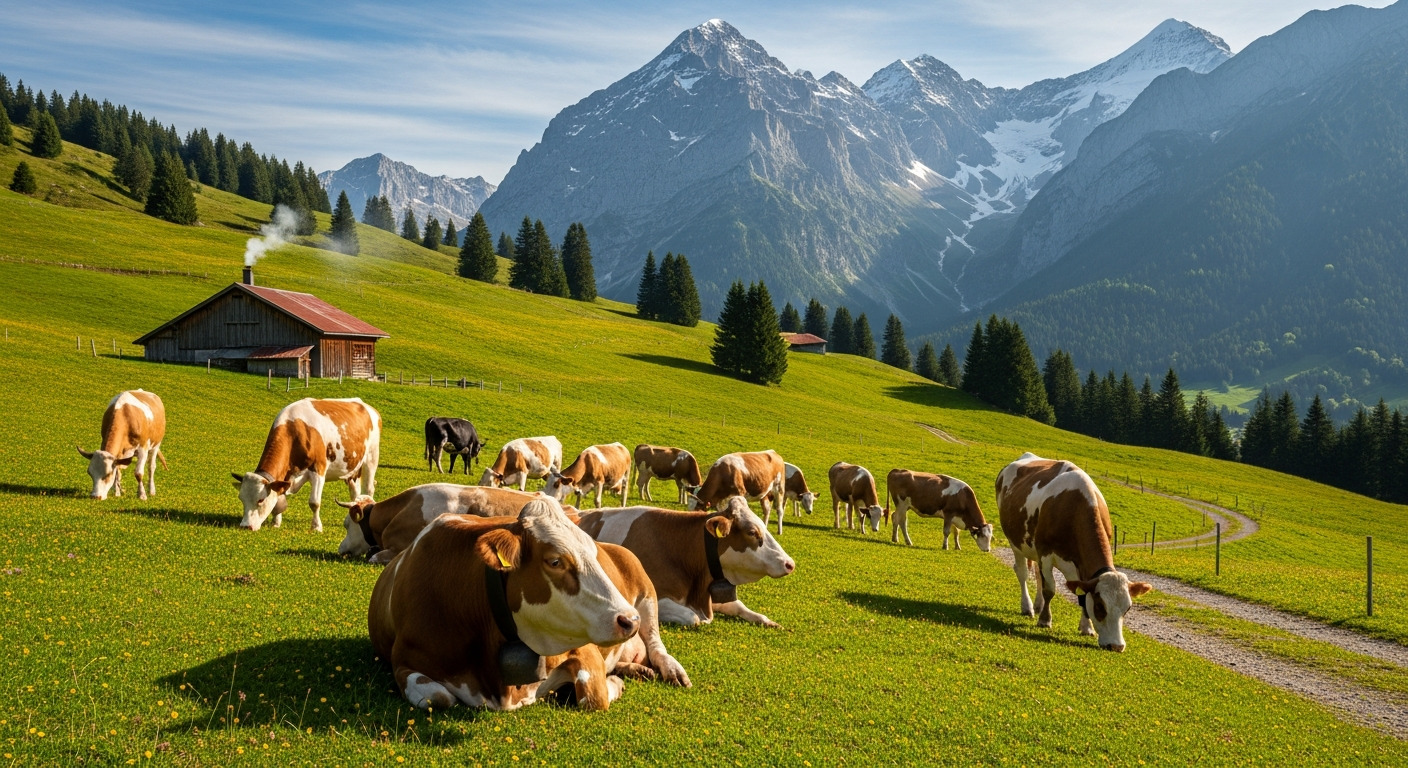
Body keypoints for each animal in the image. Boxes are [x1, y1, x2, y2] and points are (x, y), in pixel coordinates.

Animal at [231, 397, 380, 533]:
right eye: (241, 499)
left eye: (260, 500)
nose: (245, 526)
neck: (294, 430)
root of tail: (368, 407)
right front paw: (276, 522)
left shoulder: (318, 469)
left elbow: (314, 502)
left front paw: (316, 527)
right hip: (353, 468)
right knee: (355, 492)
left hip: (371, 458)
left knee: (369, 489)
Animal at [368, 497, 688, 711]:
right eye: (555, 561)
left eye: (592, 552)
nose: (627, 620)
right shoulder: (403, 661)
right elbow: (438, 698)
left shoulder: (581, 648)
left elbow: (592, 696)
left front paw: (614, 684)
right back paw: (635, 669)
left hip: (645, 591)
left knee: (655, 642)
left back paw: (669, 669)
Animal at [996, 453, 1153, 652]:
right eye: (1100, 606)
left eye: (1128, 609)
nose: (1116, 646)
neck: (1075, 506)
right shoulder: (1046, 553)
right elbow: (1050, 589)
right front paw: (1045, 621)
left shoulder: (1079, 565)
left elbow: (1081, 594)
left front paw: (1087, 628)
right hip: (1015, 542)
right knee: (1023, 573)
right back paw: (1028, 607)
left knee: (1038, 576)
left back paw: (1038, 605)